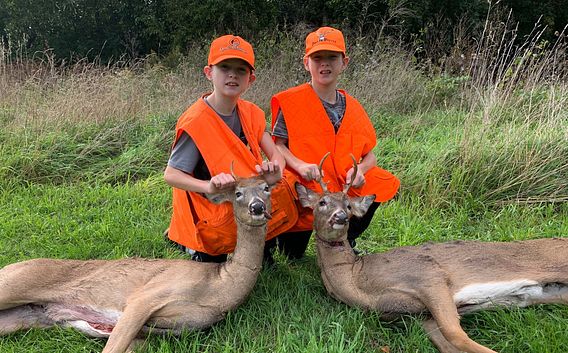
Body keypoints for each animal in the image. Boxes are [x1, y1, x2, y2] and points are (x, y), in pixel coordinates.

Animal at [0, 165, 276, 352]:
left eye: (266, 189)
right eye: (238, 193)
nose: (257, 207)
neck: (218, 288)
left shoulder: (172, 330)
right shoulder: (145, 296)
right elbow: (112, 347)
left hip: (23, 317)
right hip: (14, 282)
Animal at [296, 153, 568, 352]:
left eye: (349, 205)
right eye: (322, 202)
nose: (340, 217)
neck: (358, 280)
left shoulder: (428, 275)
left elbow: (456, 335)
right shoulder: (418, 314)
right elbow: (444, 341)